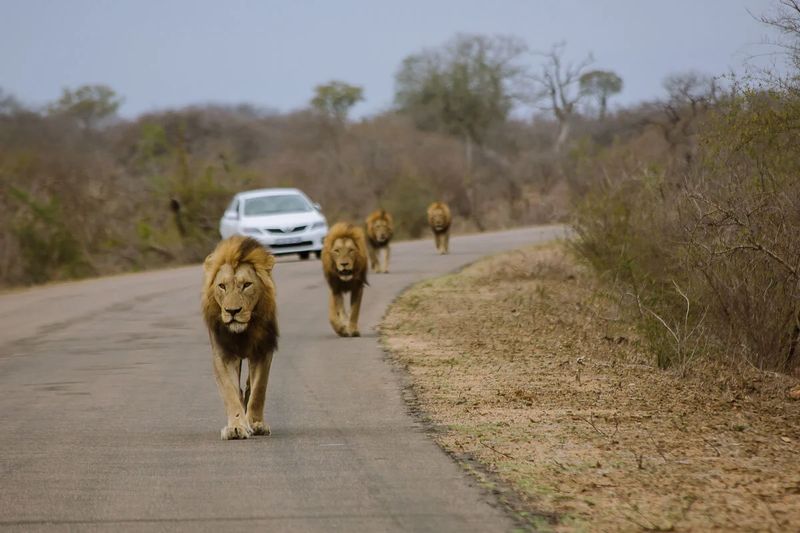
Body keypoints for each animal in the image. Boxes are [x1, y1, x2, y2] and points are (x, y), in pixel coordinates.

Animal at [203, 235, 278, 438]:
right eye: (222, 286)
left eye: (247, 285)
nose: (232, 311)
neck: (243, 332)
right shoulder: (223, 355)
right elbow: (230, 392)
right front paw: (236, 427)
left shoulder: (262, 351)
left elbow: (259, 389)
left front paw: (256, 423)